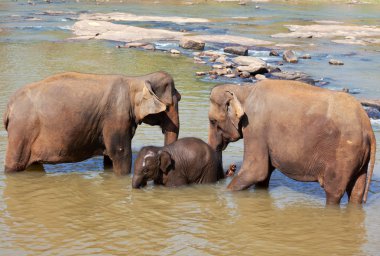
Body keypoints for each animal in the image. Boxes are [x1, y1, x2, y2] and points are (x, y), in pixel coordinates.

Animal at [2, 71, 181, 175]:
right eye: (173, 103)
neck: (137, 80)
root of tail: (9, 106)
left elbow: (109, 157)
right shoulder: (116, 117)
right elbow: (120, 153)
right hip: (21, 131)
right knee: (14, 165)